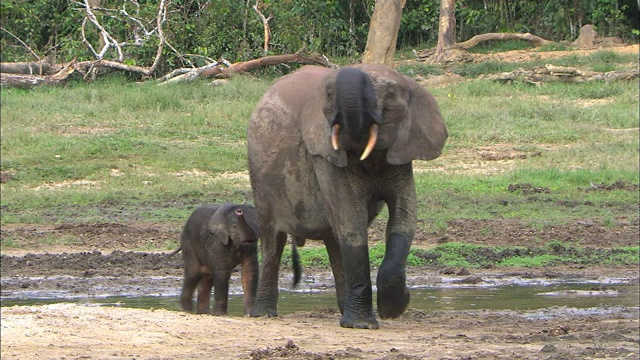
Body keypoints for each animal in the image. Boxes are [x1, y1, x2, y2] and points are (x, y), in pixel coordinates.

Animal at [248, 63, 448, 328]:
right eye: (329, 96)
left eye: (390, 95)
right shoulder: (324, 153)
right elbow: (352, 223)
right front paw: (364, 325)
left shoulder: (401, 154)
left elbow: (403, 220)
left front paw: (394, 307)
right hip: (261, 176)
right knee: (273, 239)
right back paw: (263, 314)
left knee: (335, 240)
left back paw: (344, 311)